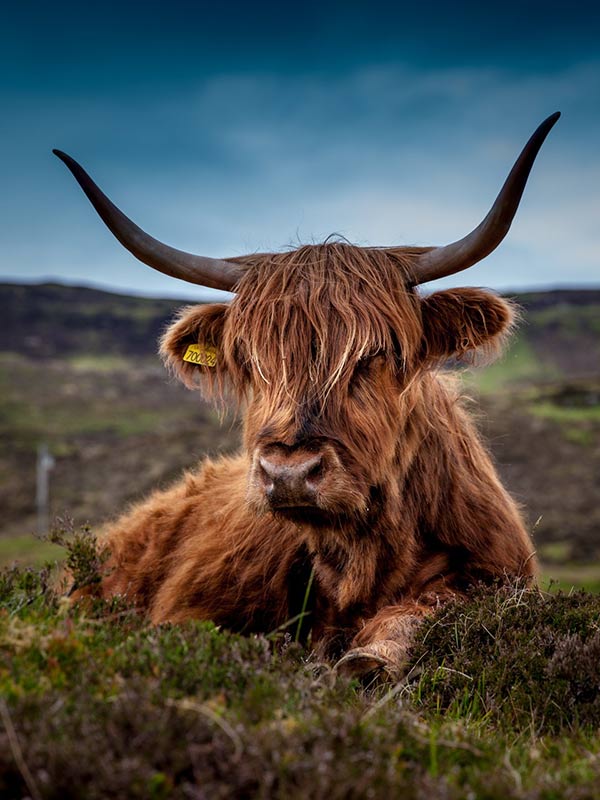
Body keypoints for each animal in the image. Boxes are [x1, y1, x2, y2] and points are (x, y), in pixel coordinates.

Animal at [54, 112, 560, 676]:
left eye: (377, 353)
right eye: (249, 359)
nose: (289, 473)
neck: (361, 561)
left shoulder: (496, 576)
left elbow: (428, 610)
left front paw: (369, 657)